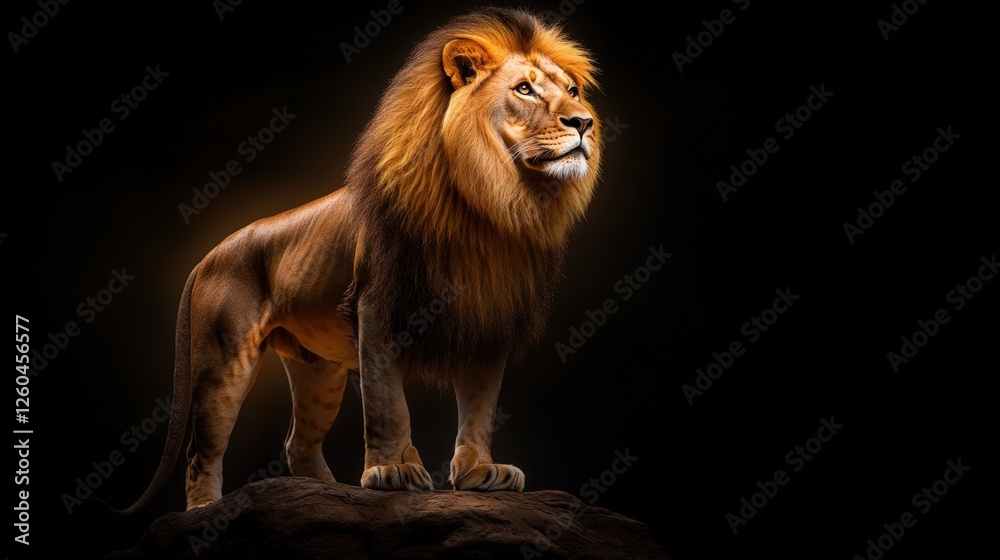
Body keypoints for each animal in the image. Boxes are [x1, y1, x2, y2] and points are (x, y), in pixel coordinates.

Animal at [117, 7, 601, 515]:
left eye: (572, 91)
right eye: (524, 89)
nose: (584, 122)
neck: (492, 204)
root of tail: (209, 254)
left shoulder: (489, 321)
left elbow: (480, 409)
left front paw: (478, 473)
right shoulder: (377, 310)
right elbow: (387, 402)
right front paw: (392, 472)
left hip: (318, 371)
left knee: (297, 443)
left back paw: (327, 495)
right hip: (223, 363)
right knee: (201, 450)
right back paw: (205, 512)